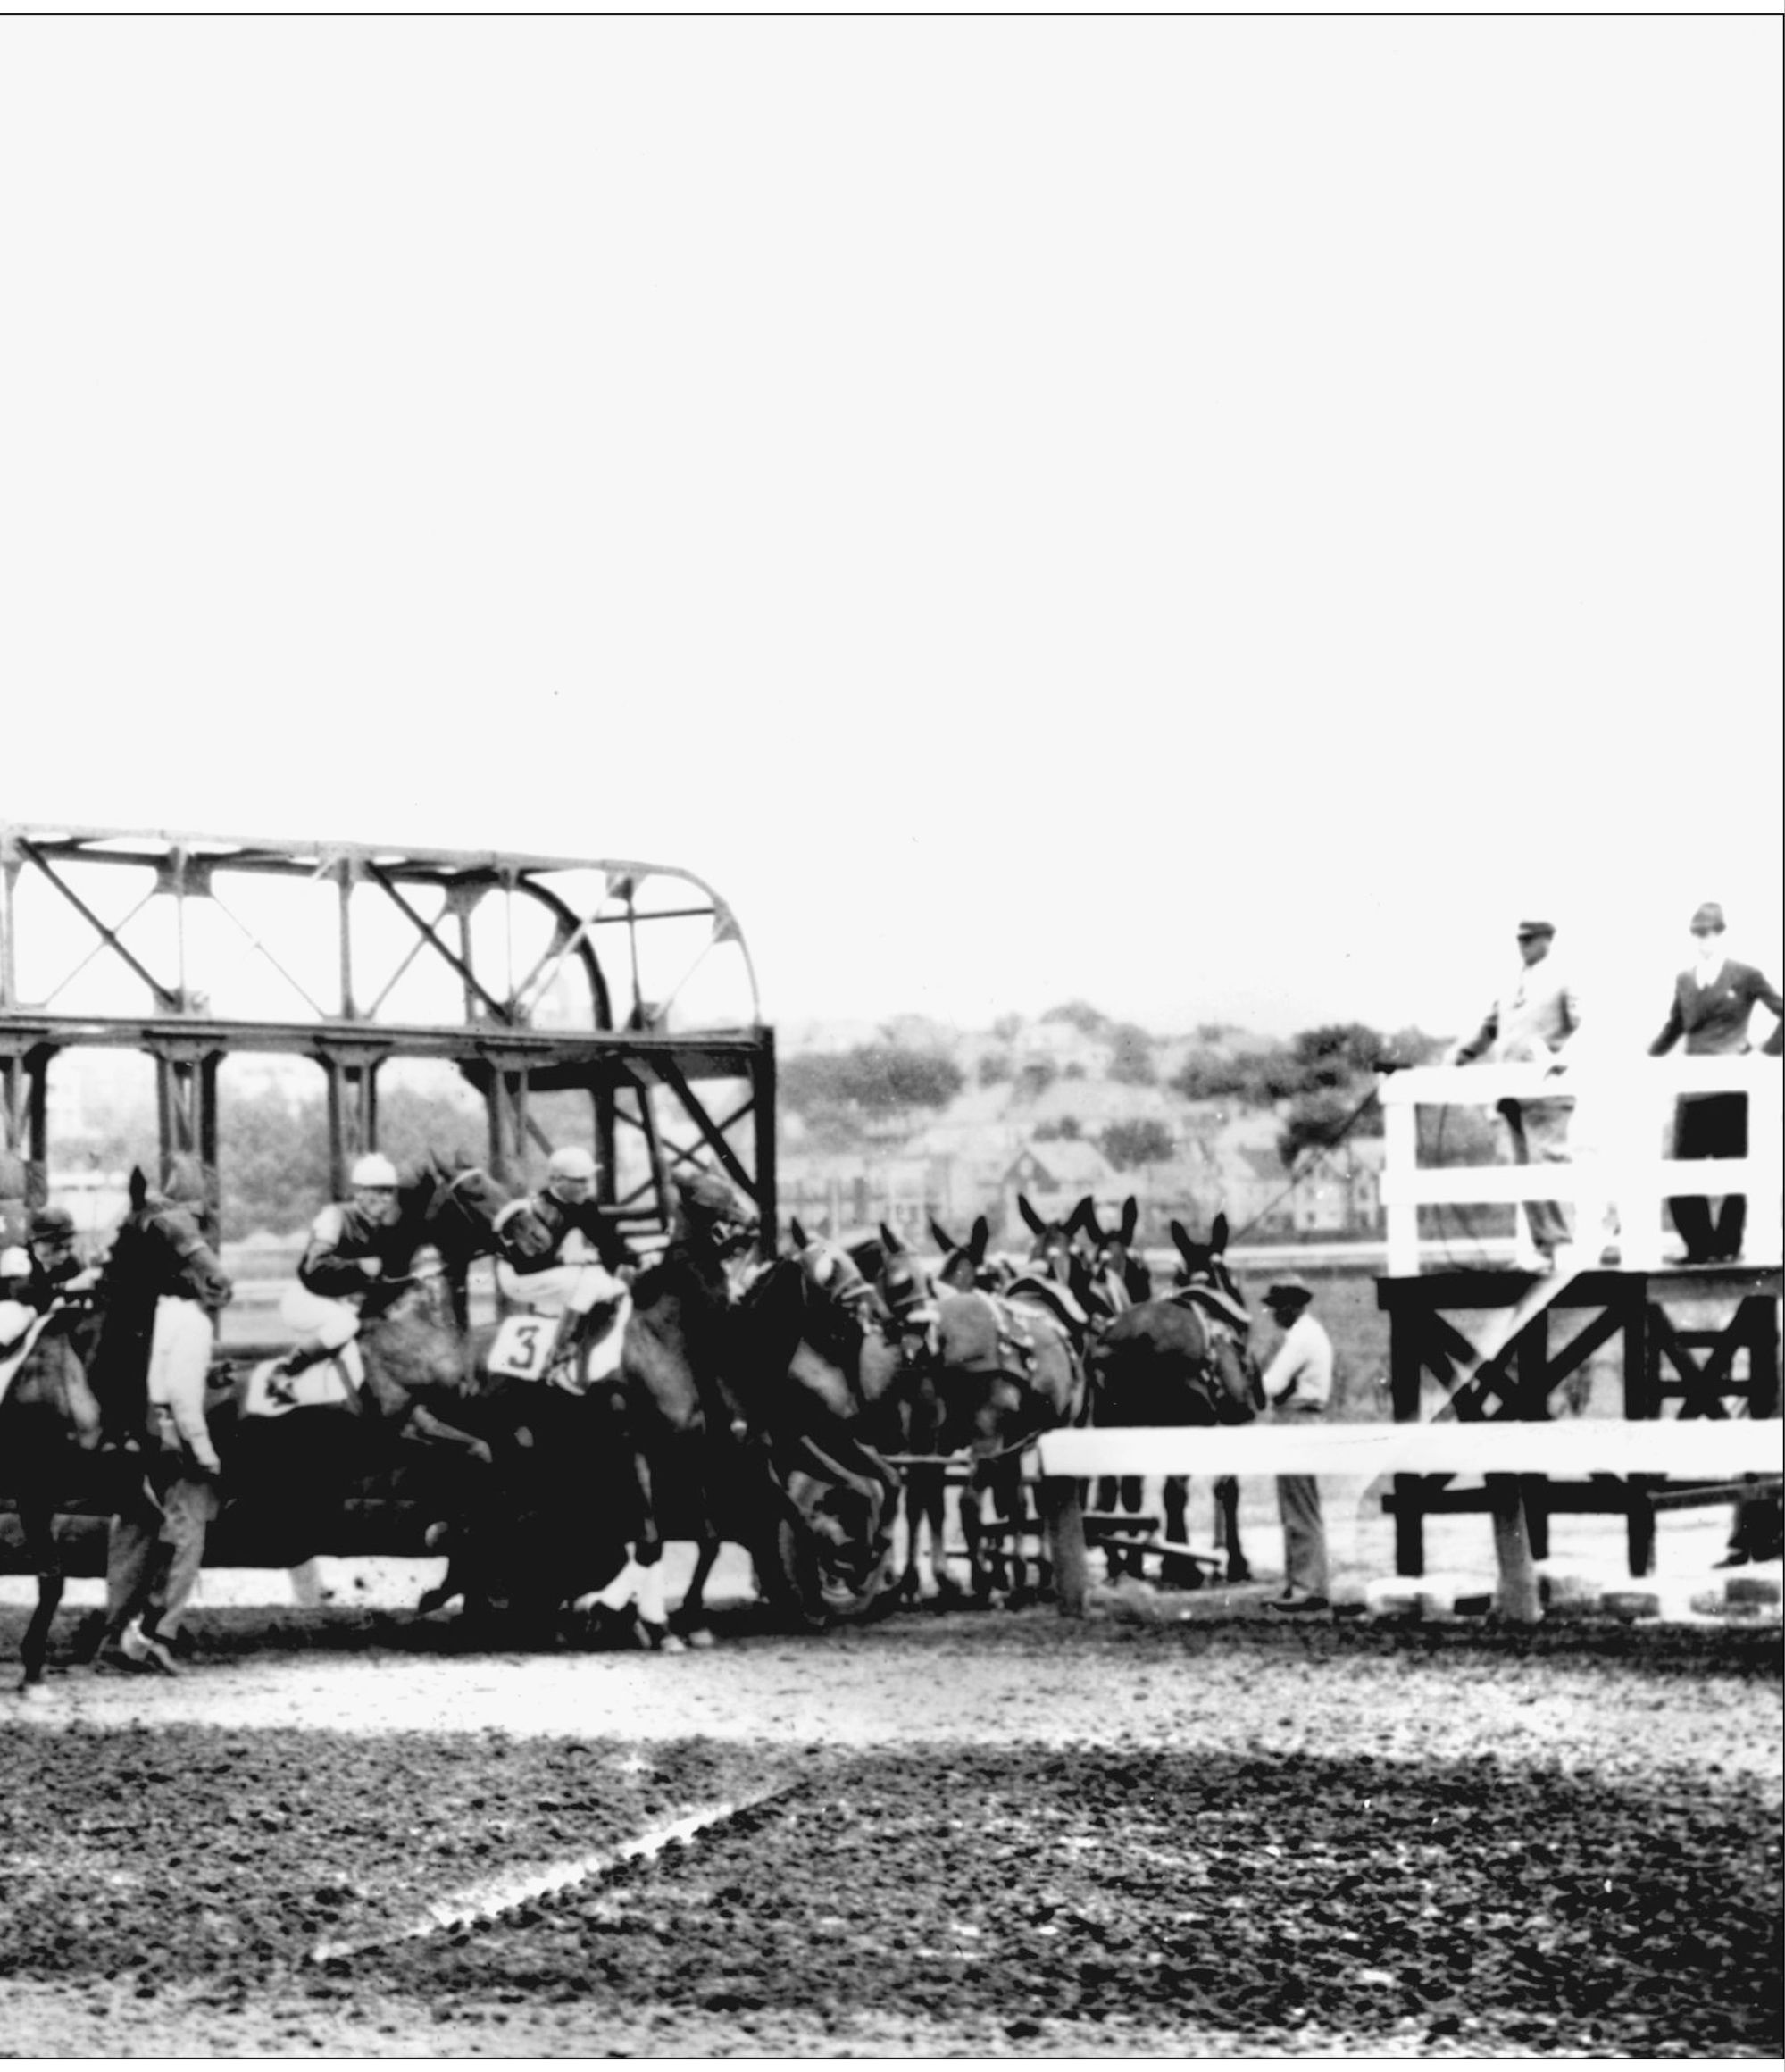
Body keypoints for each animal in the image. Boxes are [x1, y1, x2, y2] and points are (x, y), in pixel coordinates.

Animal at [1085, 1209, 1267, 1575]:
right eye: (1229, 1275)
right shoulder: (1234, 1426)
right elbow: (1227, 1490)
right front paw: (1234, 1559)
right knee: (1172, 1490)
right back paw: (1182, 1565)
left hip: (1114, 1423)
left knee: (1116, 1491)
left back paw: (1125, 1561)